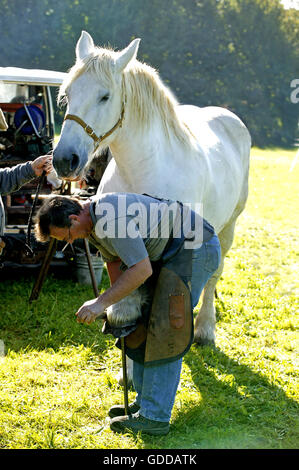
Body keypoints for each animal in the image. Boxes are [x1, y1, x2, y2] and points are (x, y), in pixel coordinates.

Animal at [52, 28, 252, 346]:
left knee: (214, 276)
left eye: (105, 96)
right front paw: (125, 315)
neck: (142, 168)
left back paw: (206, 328)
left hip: (229, 226)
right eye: (67, 94)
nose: (63, 159)